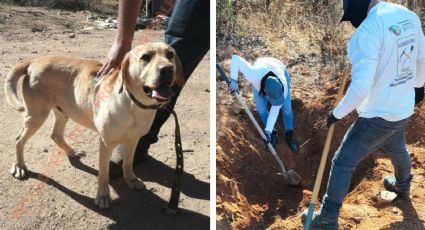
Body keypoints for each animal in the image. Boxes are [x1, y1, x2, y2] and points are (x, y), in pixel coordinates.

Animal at [4, 41, 183, 208]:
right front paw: (103, 196)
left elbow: (128, 162)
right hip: (37, 116)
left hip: (63, 112)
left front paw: (131, 179)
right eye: (145, 57)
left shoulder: (133, 140)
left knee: (55, 135)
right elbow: (103, 173)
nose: (167, 69)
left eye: (170, 54)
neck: (134, 104)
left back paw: (71, 152)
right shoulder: (106, 143)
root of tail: (34, 61)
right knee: (19, 140)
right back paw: (20, 166)